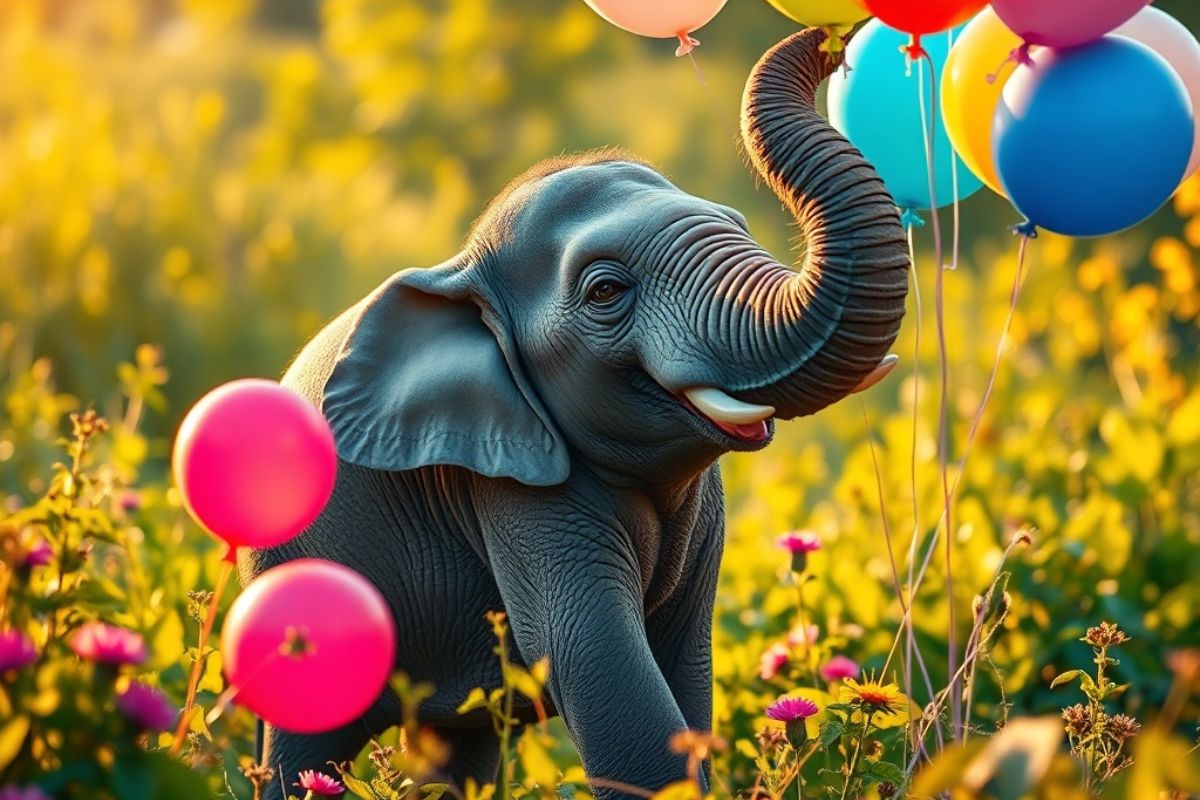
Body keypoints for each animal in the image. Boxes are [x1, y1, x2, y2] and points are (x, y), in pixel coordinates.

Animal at [242, 28, 909, 799]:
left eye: (740, 226)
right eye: (606, 292)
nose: (833, 38)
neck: (466, 267)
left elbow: (685, 667)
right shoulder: (507, 484)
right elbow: (596, 665)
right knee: (307, 745)